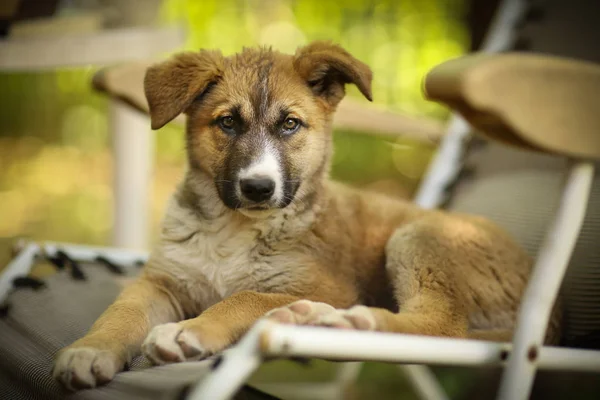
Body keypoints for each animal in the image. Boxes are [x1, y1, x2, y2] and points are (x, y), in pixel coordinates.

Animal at [52, 42, 564, 390]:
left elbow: (246, 298)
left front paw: (188, 331)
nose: (258, 187)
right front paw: (88, 350)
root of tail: (552, 316)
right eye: (228, 122)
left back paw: (355, 322)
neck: (234, 228)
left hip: (421, 238)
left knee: (442, 326)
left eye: (290, 124)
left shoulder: (328, 284)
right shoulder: (160, 281)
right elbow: (120, 312)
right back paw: (312, 318)